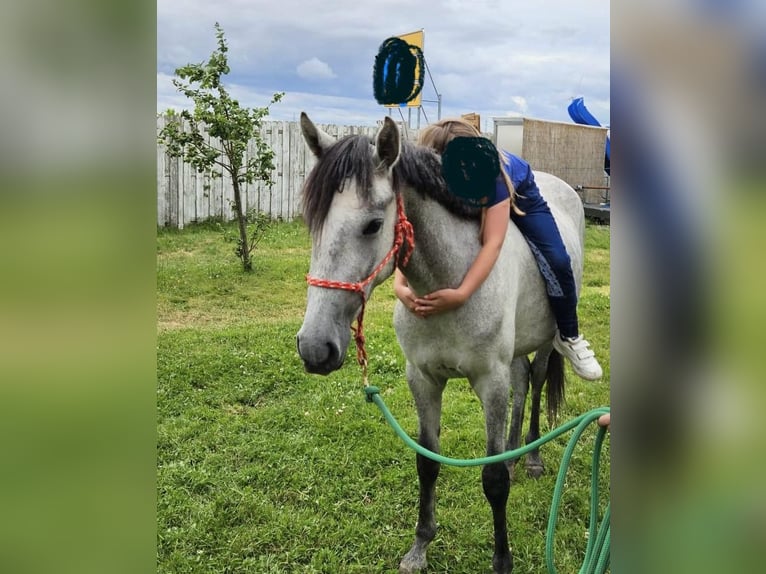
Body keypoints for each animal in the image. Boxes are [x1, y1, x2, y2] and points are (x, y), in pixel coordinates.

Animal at [296, 115, 584, 572]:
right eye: (312, 223)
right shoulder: (423, 379)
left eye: (373, 225)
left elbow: (492, 479)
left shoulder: (490, 382)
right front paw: (419, 547)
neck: (449, 277)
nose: (314, 347)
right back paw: (516, 453)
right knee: (522, 385)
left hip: (544, 343)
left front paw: (502, 560)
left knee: (536, 382)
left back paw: (532, 458)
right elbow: (427, 461)